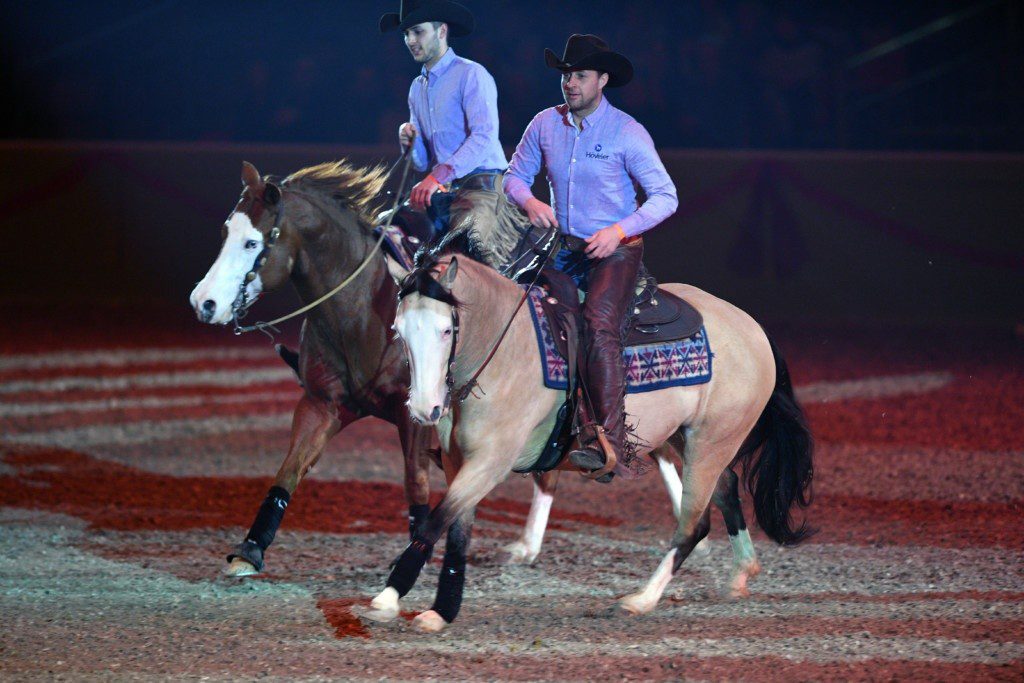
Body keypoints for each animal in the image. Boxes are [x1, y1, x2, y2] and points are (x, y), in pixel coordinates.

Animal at [364, 253, 811, 634]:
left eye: (445, 329)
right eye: (399, 330)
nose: (424, 408)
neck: (507, 351)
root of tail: (753, 327)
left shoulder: (490, 461)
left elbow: (435, 521)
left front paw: (387, 599)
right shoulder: (460, 462)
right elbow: (456, 529)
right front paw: (442, 611)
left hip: (711, 442)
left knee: (694, 523)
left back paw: (641, 599)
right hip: (689, 439)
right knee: (727, 490)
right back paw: (741, 575)